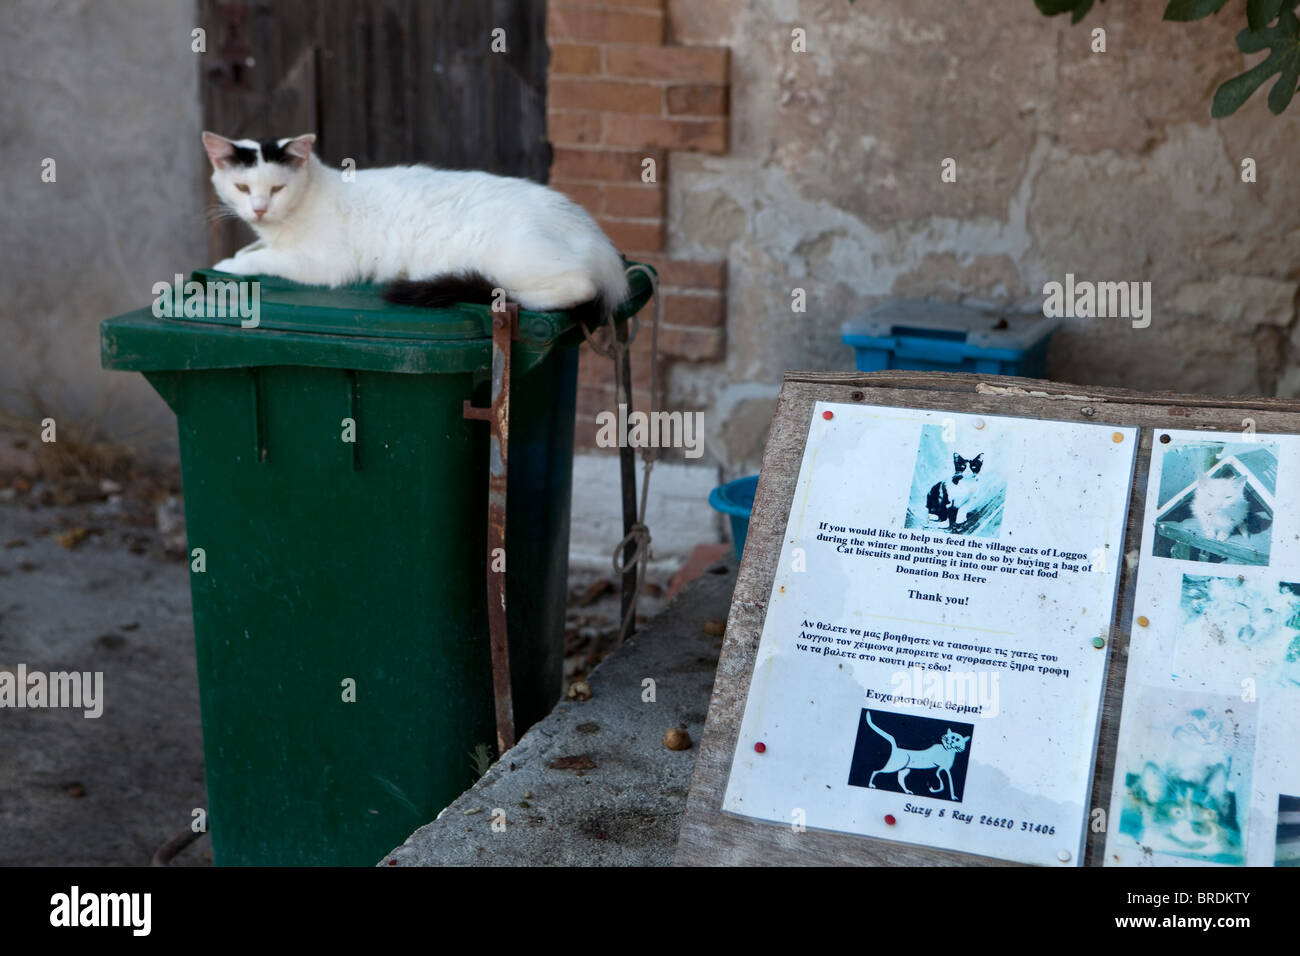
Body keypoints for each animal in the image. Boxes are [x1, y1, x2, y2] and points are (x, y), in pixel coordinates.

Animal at [198, 132, 629, 314]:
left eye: (277, 188)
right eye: (241, 187)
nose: (258, 209)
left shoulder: (326, 265)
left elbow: (261, 259)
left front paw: (229, 265)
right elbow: (256, 247)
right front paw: (239, 250)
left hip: (506, 253)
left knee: (577, 287)